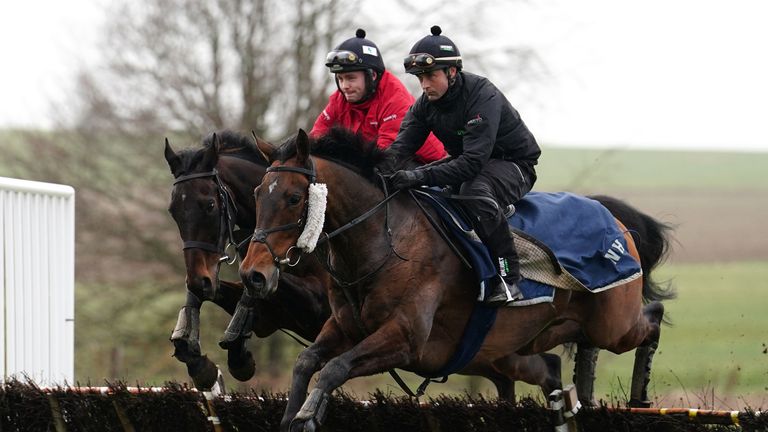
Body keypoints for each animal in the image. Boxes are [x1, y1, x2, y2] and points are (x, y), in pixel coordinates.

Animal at [242, 129, 672, 432]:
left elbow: (335, 368)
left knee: (651, 318)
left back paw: (638, 396)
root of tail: (614, 217)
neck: (385, 240)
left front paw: (308, 416)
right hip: (525, 342)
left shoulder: (405, 338)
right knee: (557, 364)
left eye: (294, 198)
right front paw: (293, 415)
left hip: (612, 322)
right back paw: (583, 391)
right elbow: (306, 362)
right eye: (258, 192)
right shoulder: (344, 326)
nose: (253, 274)